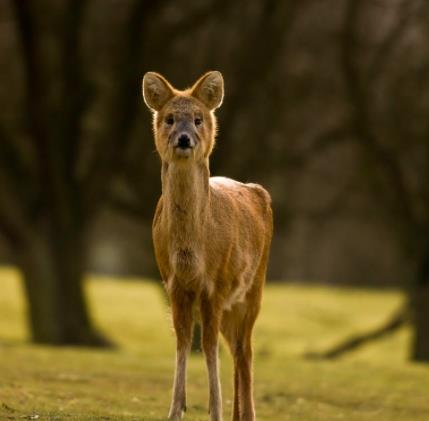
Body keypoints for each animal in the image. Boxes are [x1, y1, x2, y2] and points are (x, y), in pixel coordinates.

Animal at [142, 69, 272, 420]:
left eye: (198, 119)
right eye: (170, 119)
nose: (184, 138)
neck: (192, 253)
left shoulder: (216, 283)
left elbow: (209, 347)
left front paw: (215, 410)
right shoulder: (173, 283)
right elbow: (183, 343)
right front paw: (175, 409)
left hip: (254, 286)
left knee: (245, 349)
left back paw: (247, 414)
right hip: (232, 302)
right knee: (236, 347)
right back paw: (238, 413)